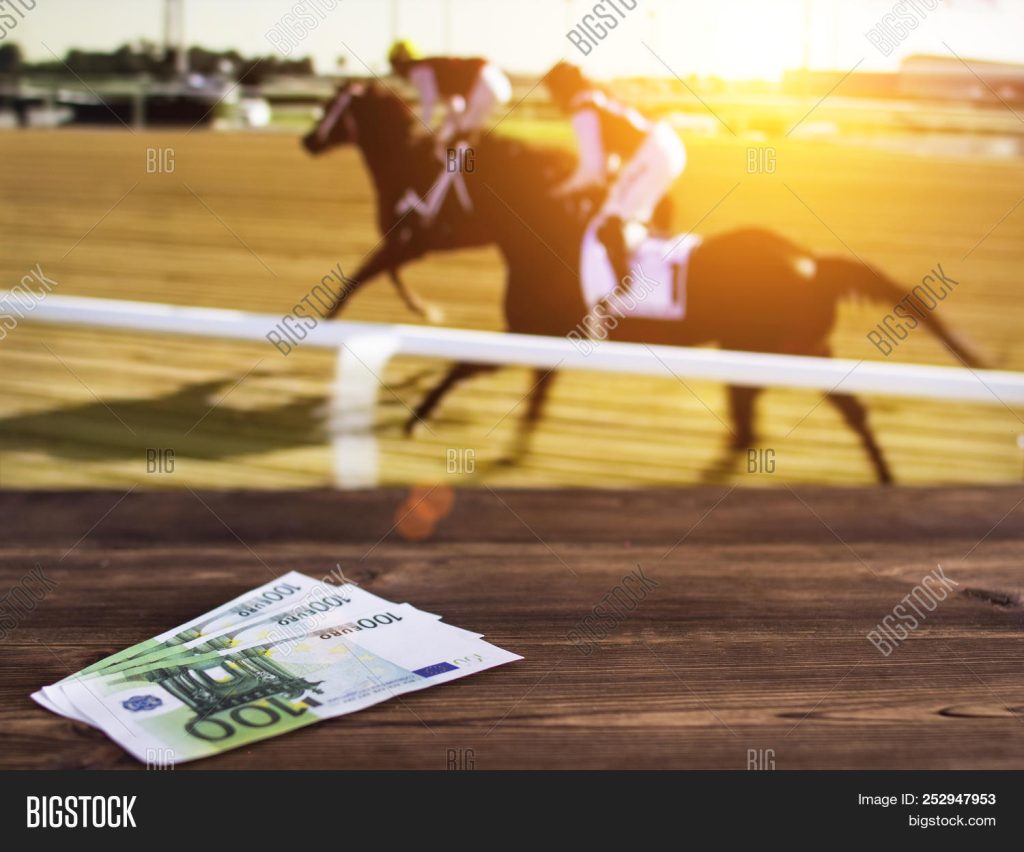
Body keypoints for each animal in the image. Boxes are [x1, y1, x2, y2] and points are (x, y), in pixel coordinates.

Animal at [309, 84, 984, 483]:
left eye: (448, 177)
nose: (417, 218)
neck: (546, 227)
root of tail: (811, 260)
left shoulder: (533, 329)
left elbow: (464, 366)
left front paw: (419, 417)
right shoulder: (541, 338)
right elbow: (524, 393)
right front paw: (512, 446)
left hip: (790, 349)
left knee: (829, 415)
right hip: (767, 352)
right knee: (767, 422)